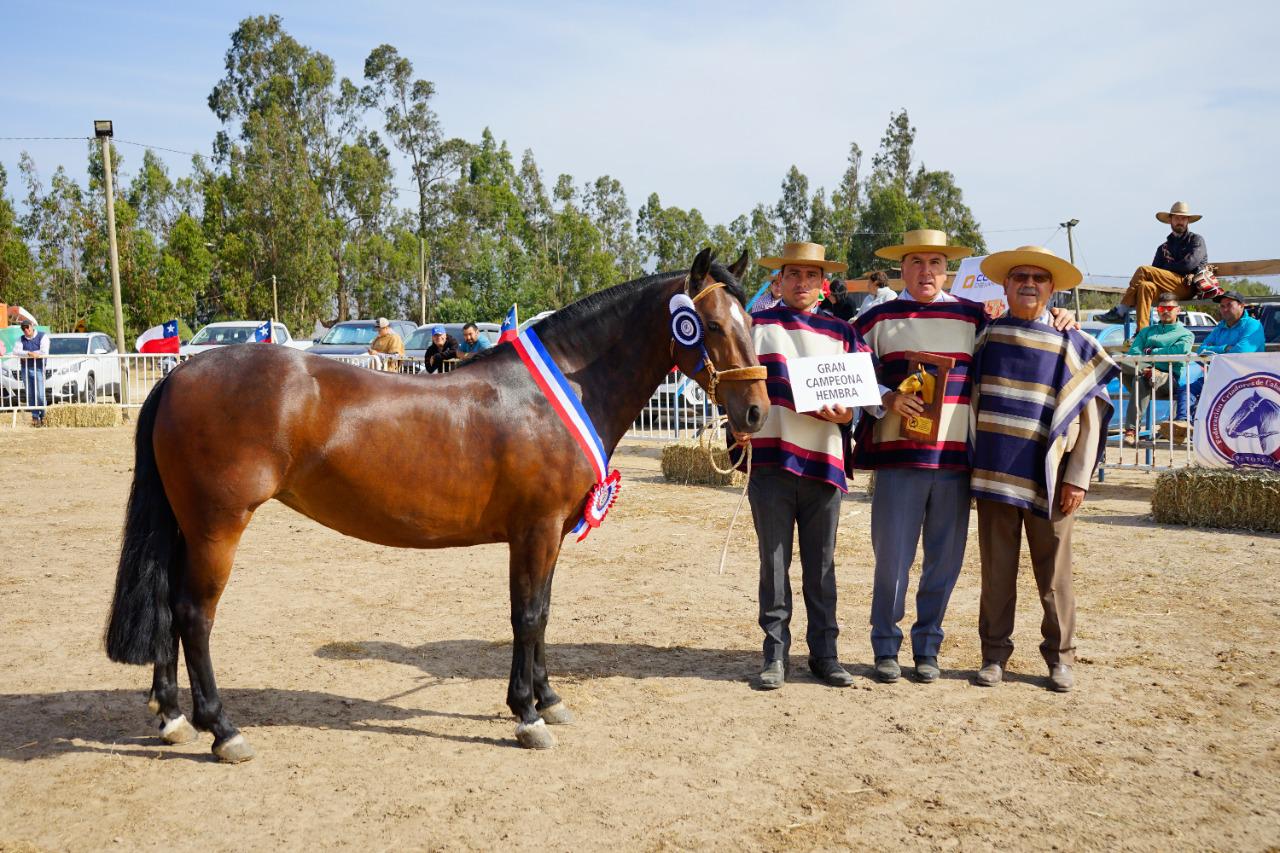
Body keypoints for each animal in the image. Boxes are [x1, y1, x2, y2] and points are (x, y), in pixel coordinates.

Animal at [104, 245, 762, 758]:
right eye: (710, 325)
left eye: (749, 323)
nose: (755, 412)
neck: (558, 393)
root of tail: (177, 376)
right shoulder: (535, 530)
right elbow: (527, 615)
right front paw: (527, 716)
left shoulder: (549, 535)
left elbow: (543, 612)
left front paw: (548, 698)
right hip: (217, 526)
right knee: (193, 614)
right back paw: (222, 729)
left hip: (189, 525)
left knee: (167, 604)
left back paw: (172, 716)